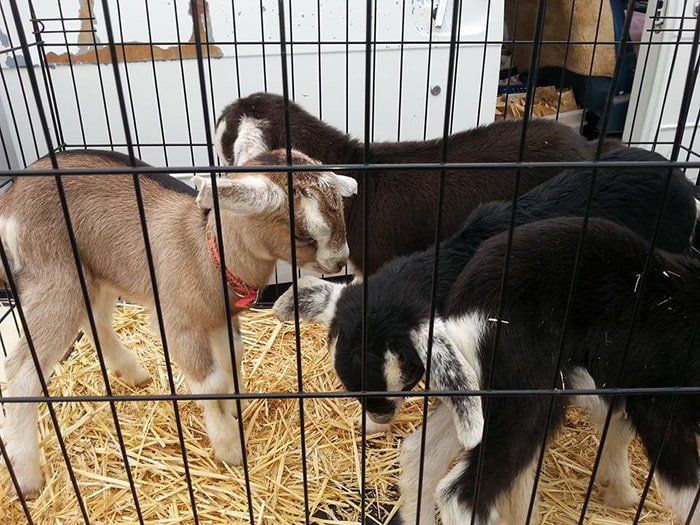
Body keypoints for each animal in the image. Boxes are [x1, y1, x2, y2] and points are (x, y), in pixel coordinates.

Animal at [0, 148, 356, 498]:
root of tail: (11, 197)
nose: (339, 261)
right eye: (301, 234)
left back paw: (133, 373)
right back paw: (27, 478)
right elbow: (211, 382)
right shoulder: (176, 323)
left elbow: (233, 357)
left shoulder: (220, 319)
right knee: (21, 370)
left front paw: (236, 408)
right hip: (54, 275)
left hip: (94, 274)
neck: (206, 253)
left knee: (94, 320)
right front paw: (229, 448)